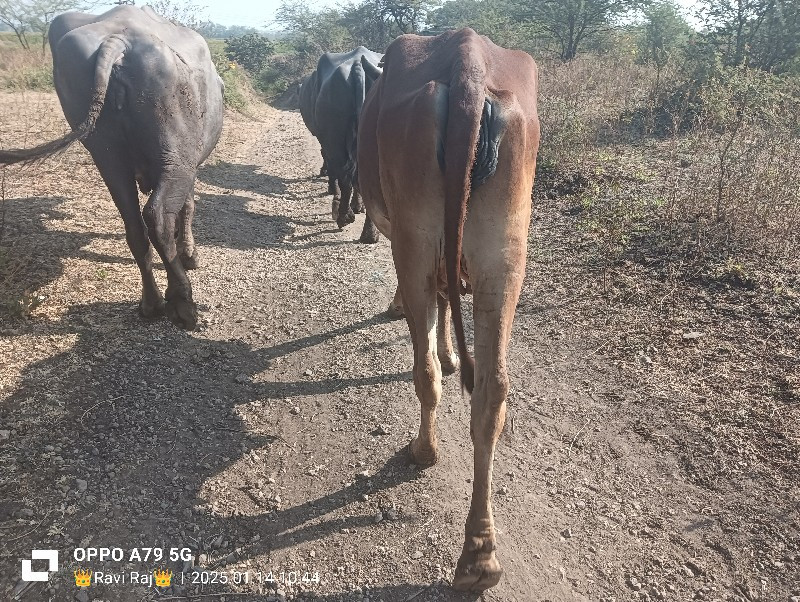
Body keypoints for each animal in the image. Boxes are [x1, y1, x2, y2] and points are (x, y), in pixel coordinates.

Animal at [0, 4, 225, 326]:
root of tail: (118, 41)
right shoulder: (192, 165)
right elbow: (189, 206)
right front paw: (190, 254)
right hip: (175, 157)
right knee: (158, 216)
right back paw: (181, 302)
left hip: (107, 155)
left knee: (135, 228)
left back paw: (151, 304)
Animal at [358, 30, 540, 588]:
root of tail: (469, 63)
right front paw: (454, 353)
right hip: (506, 249)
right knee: (493, 389)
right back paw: (480, 555)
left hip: (414, 234)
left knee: (425, 371)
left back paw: (424, 449)